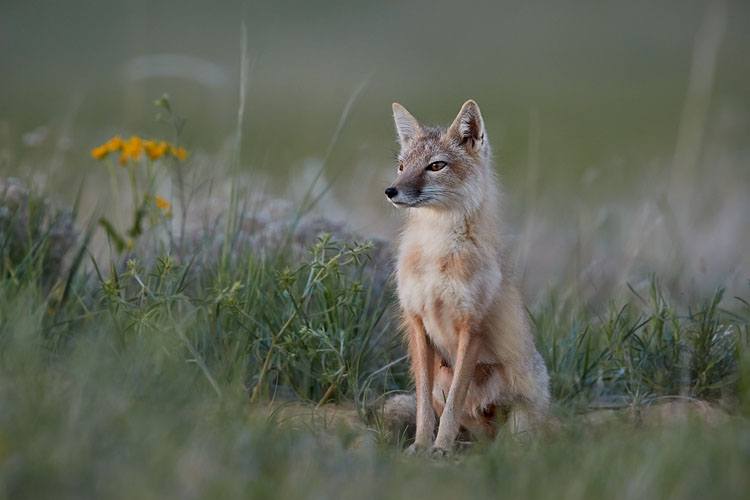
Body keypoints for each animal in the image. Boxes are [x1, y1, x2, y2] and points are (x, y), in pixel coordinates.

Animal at [384, 100, 550, 454]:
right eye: (402, 166)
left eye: (436, 166)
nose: (391, 191)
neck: (437, 251)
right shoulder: (417, 322)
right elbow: (424, 405)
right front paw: (422, 445)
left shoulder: (470, 326)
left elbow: (454, 404)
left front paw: (440, 448)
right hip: (442, 382)